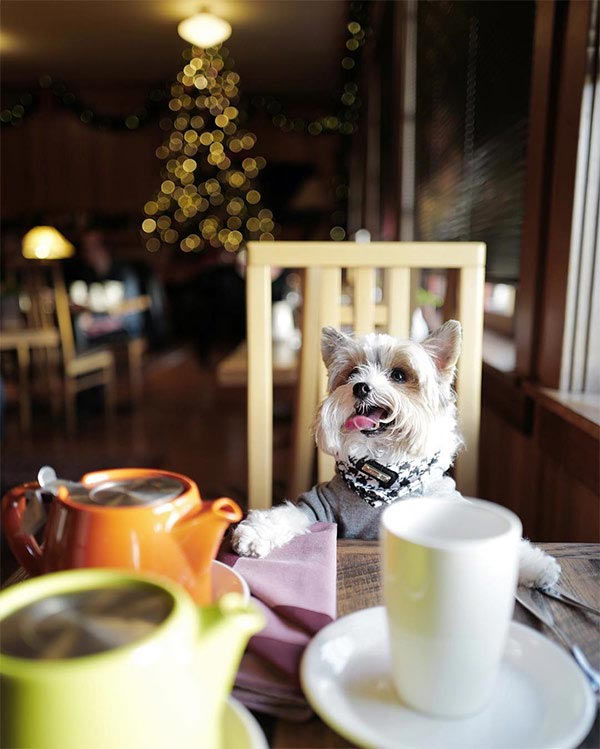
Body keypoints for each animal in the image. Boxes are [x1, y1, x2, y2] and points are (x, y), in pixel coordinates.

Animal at [232, 318, 560, 588]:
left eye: (399, 375)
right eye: (352, 373)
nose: (361, 387)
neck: (382, 469)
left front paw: (534, 565)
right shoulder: (317, 506)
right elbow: (286, 515)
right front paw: (254, 534)